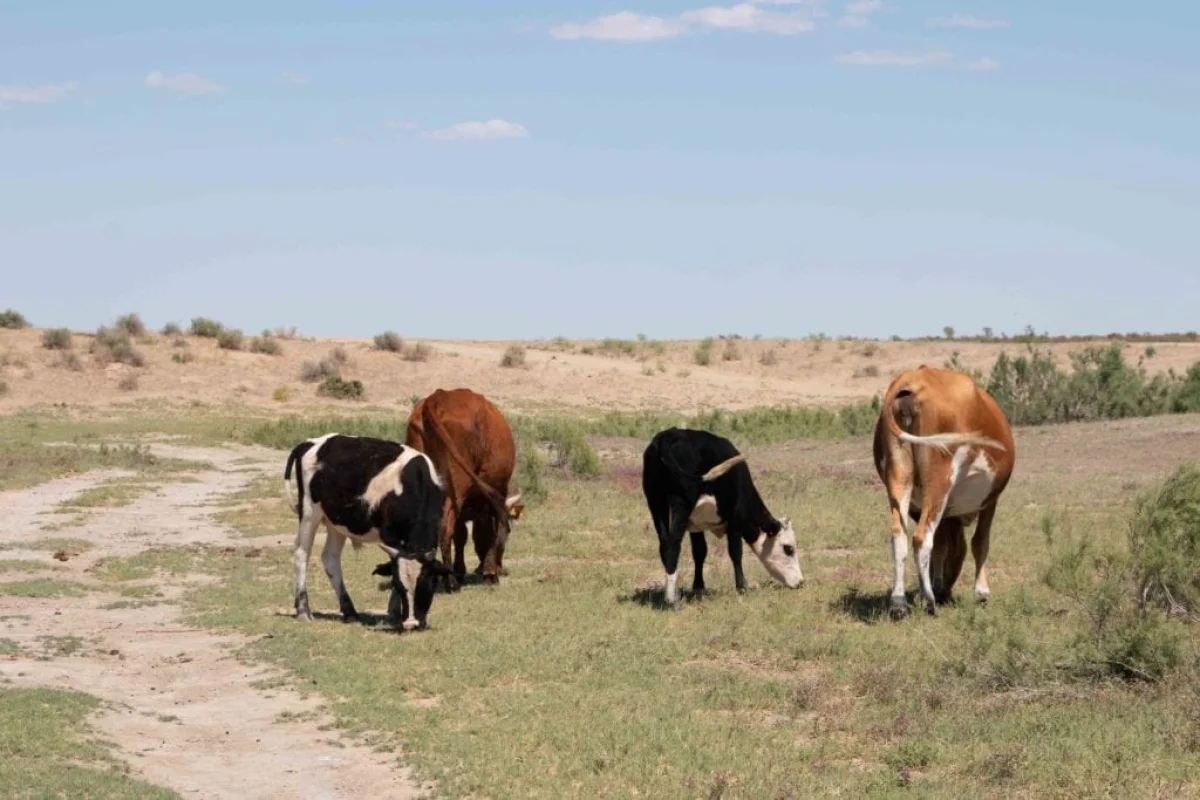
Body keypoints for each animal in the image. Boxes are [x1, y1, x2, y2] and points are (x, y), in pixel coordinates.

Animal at [283, 434, 451, 633]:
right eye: (399, 586)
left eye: (426, 585)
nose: (411, 623)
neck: (412, 482)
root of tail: (311, 442)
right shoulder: (390, 537)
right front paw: (394, 611)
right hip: (309, 513)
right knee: (302, 553)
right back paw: (303, 610)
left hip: (336, 522)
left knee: (330, 558)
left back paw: (350, 611)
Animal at [405, 391, 523, 592]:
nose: (501, 567)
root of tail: (437, 397)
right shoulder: (497, 496)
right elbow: (495, 531)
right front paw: (489, 573)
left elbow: (461, 536)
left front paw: (461, 570)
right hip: (456, 491)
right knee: (445, 529)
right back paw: (450, 582)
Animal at [643, 424, 801, 606]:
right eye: (788, 548)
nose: (800, 582)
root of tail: (668, 436)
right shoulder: (735, 520)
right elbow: (736, 552)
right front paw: (742, 588)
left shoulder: (696, 525)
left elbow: (700, 552)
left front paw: (699, 589)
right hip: (680, 503)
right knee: (673, 545)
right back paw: (671, 599)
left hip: (656, 501)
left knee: (664, 544)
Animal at [868, 367, 1017, 623]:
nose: (946, 590)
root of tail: (911, 383)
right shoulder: (990, 501)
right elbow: (979, 542)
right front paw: (981, 592)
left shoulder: (921, 508)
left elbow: (940, 545)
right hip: (939, 481)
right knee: (921, 538)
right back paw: (930, 603)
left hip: (898, 480)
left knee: (899, 536)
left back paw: (898, 603)